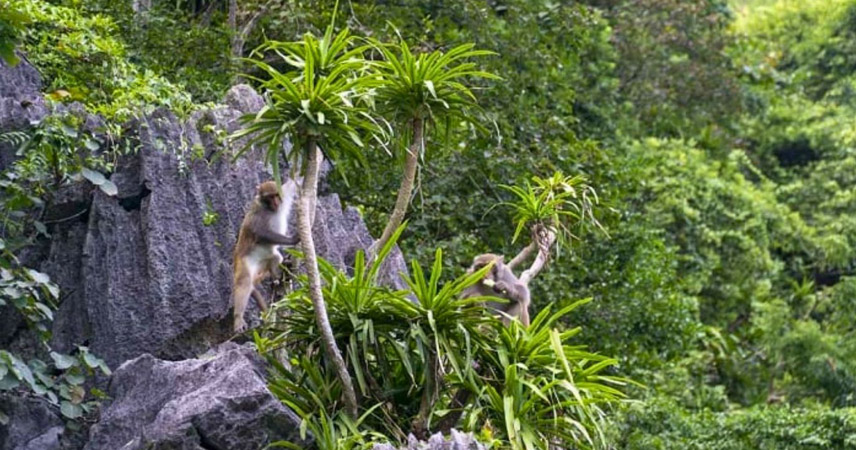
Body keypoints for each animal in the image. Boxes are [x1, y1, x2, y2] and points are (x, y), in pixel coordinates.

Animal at [232, 179, 299, 333]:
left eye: (276, 195)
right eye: (269, 197)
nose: (275, 202)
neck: (269, 209)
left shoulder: (284, 192)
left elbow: (293, 182)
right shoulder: (258, 215)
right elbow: (262, 233)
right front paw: (292, 240)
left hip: (264, 261)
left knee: (275, 258)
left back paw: (277, 278)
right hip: (244, 261)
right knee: (245, 281)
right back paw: (238, 317)